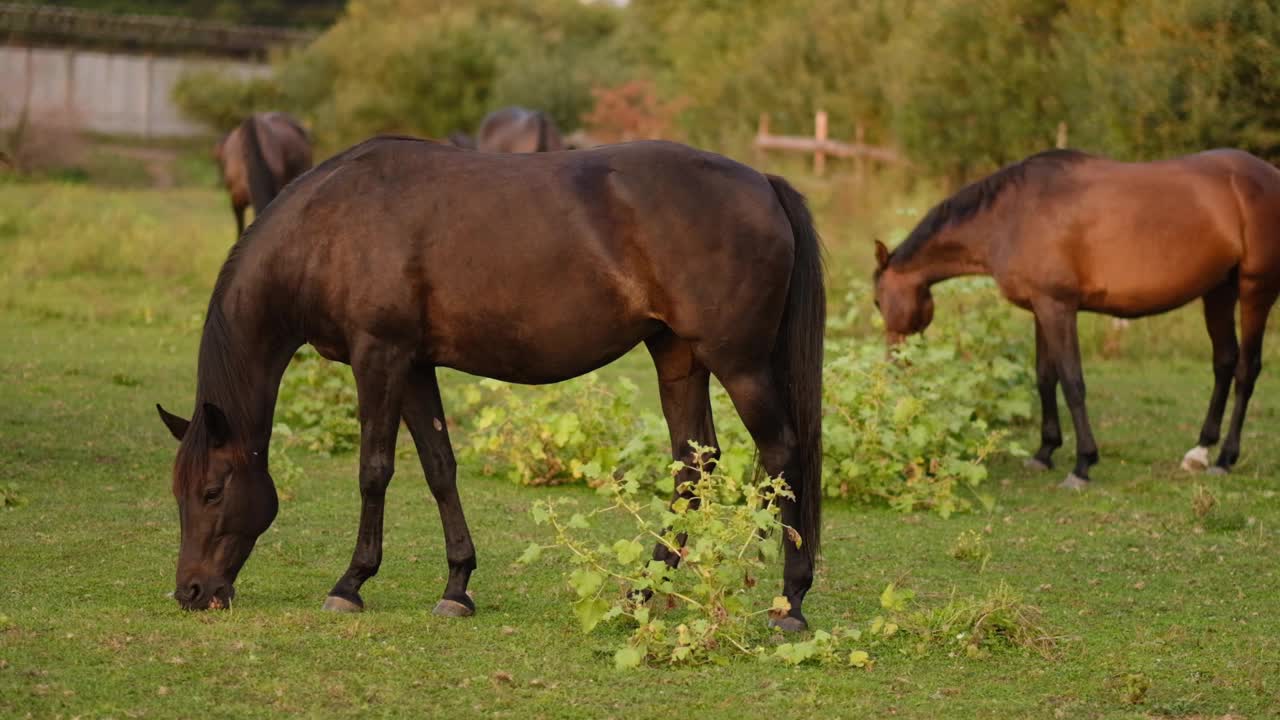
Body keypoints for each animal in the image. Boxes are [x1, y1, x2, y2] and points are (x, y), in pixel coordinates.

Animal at [154, 135, 824, 627]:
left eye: (212, 491)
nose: (192, 591)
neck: (330, 227)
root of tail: (763, 183)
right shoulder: (414, 365)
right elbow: (439, 467)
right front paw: (457, 586)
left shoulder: (380, 357)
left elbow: (374, 470)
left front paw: (351, 582)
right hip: (678, 359)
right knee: (693, 469)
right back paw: (640, 591)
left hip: (739, 365)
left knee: (782, 454)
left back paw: (788, 602)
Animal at [870, 149, 1280, 486]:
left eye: (876, 301)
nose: (893, 370)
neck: (1012, 215)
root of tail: (1269, 175)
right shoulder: (1041, 308)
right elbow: (1045, 377)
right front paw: (1044, 452)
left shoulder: (1059, 308)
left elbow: (1072, 382)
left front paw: (1083, 464)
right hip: (1219, 289)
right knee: (1224, 361)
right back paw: (1199, 451)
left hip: (1255, 289)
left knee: (1246, 369)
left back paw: (1225, 459)